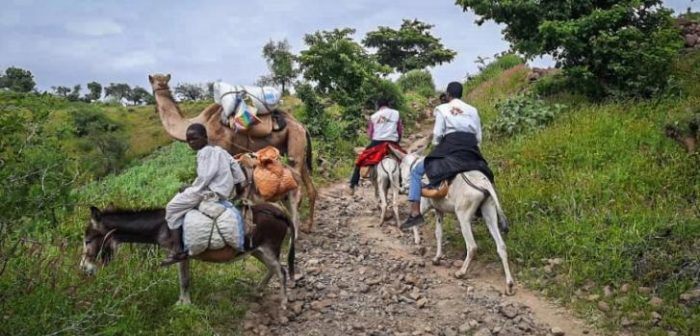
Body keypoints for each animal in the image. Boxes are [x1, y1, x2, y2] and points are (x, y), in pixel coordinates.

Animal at [152, 73, 318, 232]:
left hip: (295, 141)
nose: (159, 86)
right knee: (309, 185)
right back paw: (308, 226)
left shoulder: (220, 147)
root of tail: (303, 127)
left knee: (296, 186)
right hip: (297, 147)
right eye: (156, 80)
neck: (203, 123)